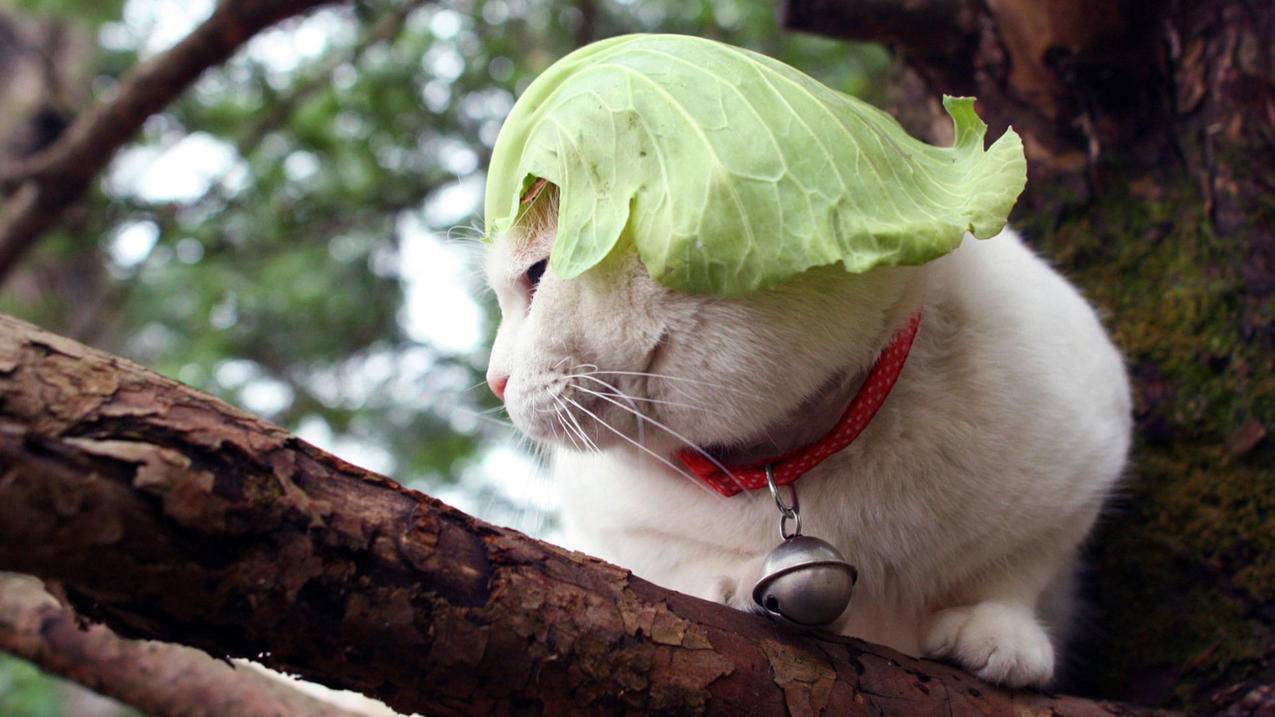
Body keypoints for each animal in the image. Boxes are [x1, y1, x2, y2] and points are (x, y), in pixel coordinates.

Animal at [481, 183, 1132, 688]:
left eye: (537, 275)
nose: (494, 380)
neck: (785, 455)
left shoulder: (1084, 470)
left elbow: (1016, 570)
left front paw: (996, 627)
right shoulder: (609, 523)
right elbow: (666, 558)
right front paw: (734, 583)